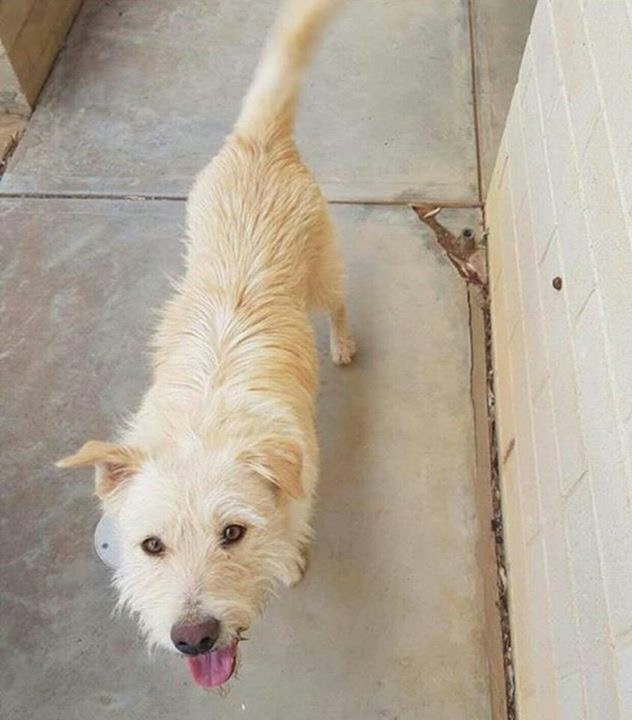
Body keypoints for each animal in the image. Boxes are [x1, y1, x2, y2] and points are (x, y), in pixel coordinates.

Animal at [56, 0, 354, 690]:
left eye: (234, 533)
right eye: (151, 546)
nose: (193, 638)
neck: (205, 422)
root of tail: (258, 141)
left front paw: (289, 561)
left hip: (323, 269)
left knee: (338, 303)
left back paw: (345, 344)